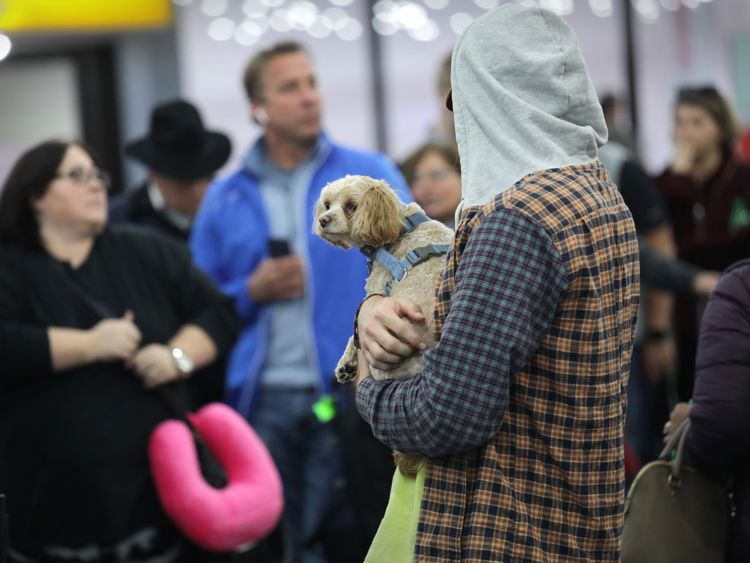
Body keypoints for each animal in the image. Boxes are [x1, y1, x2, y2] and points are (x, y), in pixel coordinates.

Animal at [312, 174, 452, 478]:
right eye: (327, 204)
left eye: (351, 206)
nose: (323, 220)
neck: (400, 227)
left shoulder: (377, 292)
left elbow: (353, 332)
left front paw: (346, 363)